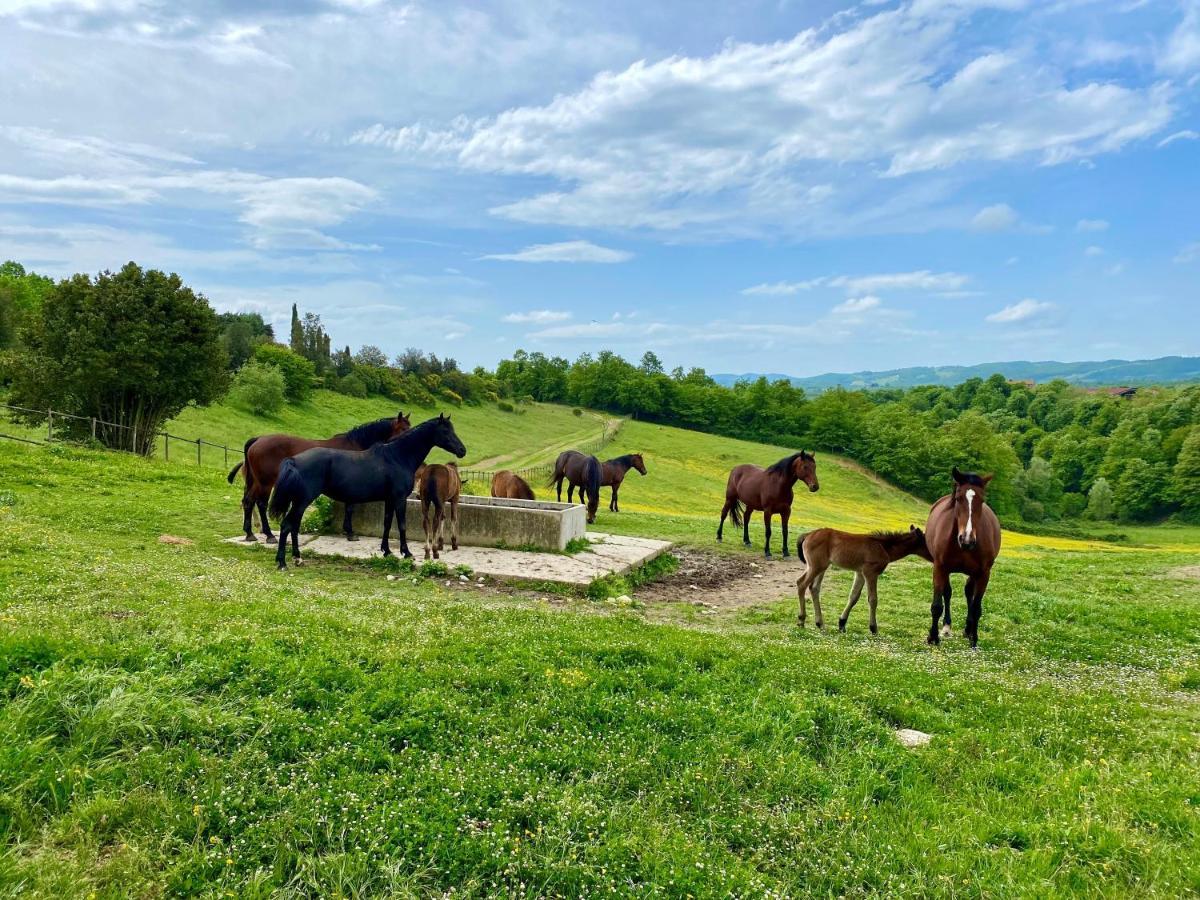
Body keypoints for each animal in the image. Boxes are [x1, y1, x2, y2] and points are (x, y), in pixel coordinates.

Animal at [226, 415, 410, 542]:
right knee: (261, 504)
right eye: (403, 429)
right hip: (265, 483)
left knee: (248, 501)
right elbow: (350, 508)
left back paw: (249, 533)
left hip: (255, 482)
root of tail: (258, 439)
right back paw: (269, 534)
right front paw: (350, 532)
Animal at [267, 415, 463, 571]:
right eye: (446, 431)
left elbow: (387, 523)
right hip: (302, 501)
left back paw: (297, 558)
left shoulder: (389, 499)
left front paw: (386, 551)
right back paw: (282, 562)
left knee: (294, 527)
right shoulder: (399, 499)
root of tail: (294, 460)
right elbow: (401, 525)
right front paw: (406, 553)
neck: (397, 456)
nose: (462, 450)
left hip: (299, 501)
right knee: (286, 526)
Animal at [801, 528, 931, 633]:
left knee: (813, 588)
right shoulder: (870, 573)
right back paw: (801, 620)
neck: (884, 547)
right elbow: (873, 599)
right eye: (926, 542)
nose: (933, 556)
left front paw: (842, 624)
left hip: (820, 567)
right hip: (815, 566)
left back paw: (820, 624)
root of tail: (808, 535)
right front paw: (873, 628)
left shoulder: (860, 573)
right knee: (801, 584)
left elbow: (854, 597)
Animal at [926, 468, 1003, 652]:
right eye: (958, 498)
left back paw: (968, 630)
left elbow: (976, 607)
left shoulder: (983, 573)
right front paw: (933, 637)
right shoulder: (939, 567)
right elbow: (937, 605)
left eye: (982, 500)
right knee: (948, 593)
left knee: (969, 593)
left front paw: (974, 640)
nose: (967, 539)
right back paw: (946, 627)